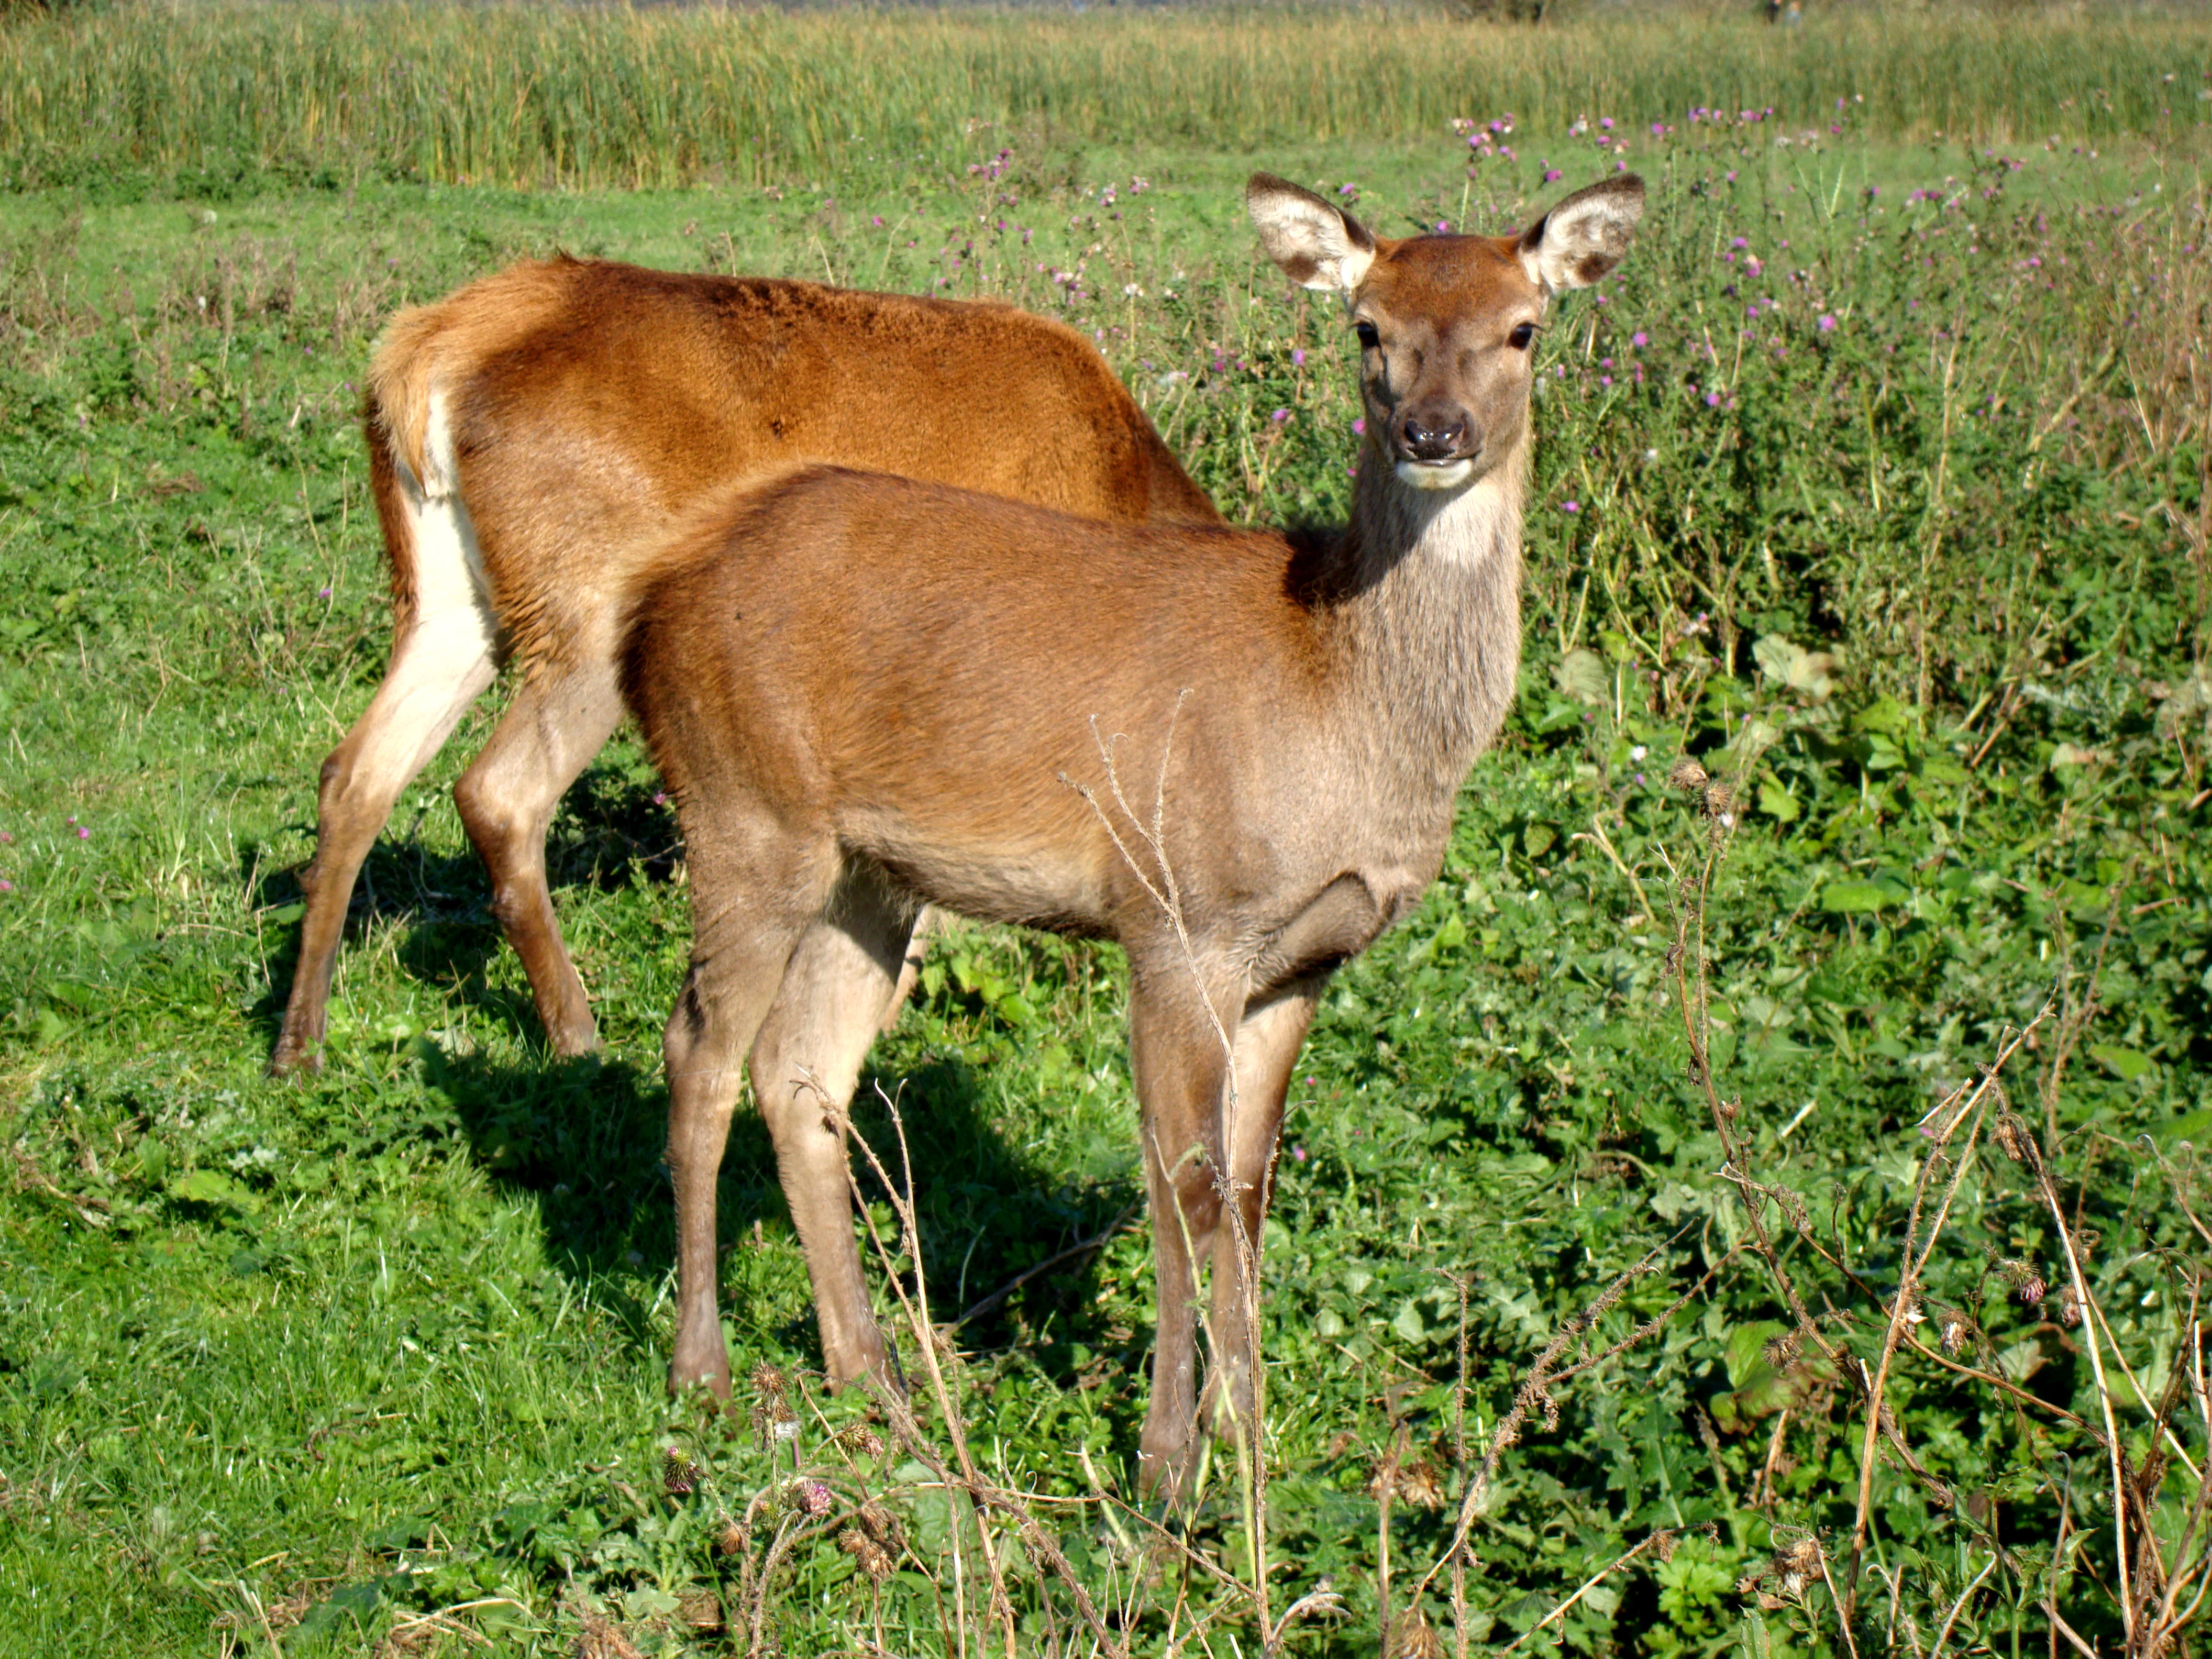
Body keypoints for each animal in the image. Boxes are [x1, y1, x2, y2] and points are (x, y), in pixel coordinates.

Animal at [268, 255, 1221, 1079]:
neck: (1121, 490)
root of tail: (425, 351)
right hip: (588, 604)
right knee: (498, 792)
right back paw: (575, 1030)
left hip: (448, 601)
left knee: (355, 771)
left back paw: (298, 1040)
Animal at [616, 170, 1644, 1493]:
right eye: (1366, 326)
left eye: (1524, 327)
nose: (1433, 431)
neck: (1339, 704)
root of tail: (652, 598)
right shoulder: (1177, 915)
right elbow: (1179, 1184)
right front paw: (1167, 1466)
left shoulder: (1302, 957)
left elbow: (1249, 1186)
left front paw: (1248, 1438)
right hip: (744, 805)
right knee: (698, 1049)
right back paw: (704, 1373)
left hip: (870, 871)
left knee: (799, 1071)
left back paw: (875, 1380)